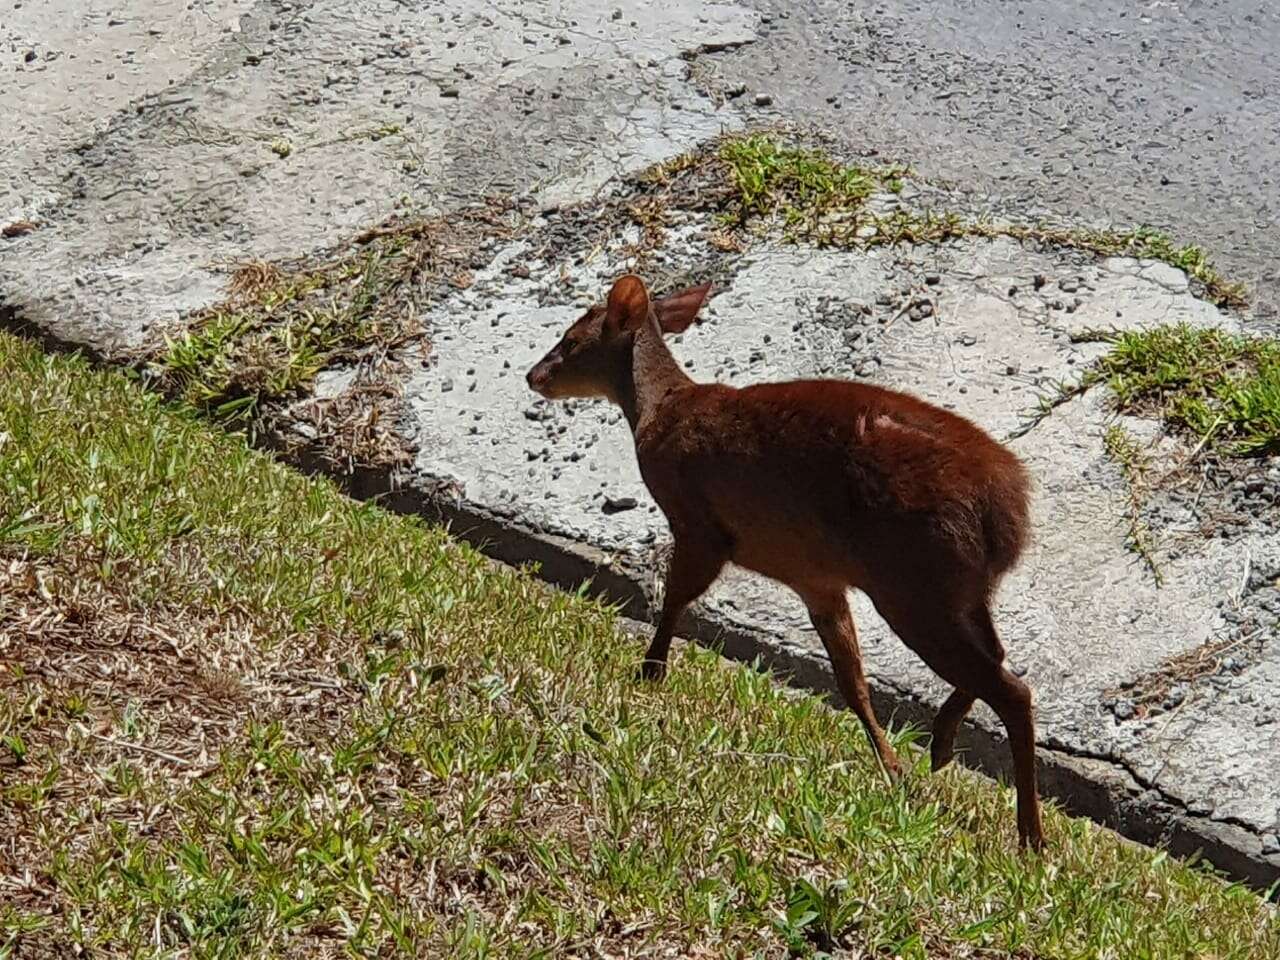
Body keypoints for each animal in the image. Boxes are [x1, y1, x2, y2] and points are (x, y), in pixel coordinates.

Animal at [524, 272, 1044, 849]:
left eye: (570, 341)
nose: (532, 375)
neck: (659, 410)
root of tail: (1008, 511)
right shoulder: (815, 578)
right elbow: (851, 680)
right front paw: (892, 768)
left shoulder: (699, 523)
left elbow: (676, 598)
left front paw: (649, 673)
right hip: (957, 589)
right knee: (997, 657)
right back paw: (942, 744)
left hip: (915, 584)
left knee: (1013, 689)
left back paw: (1029, 835)